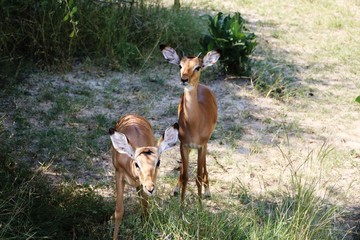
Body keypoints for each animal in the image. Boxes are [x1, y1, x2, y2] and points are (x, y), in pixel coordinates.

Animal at [160, 45, 219, 204]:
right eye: (180, 65)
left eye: (197, 67)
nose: (184, 79)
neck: (194, 124)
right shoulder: (184, 145)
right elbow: (186, 176)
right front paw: (182, 206)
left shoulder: (201, 146)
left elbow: (197, 176)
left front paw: (199, 206)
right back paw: (176, 189)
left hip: (205, 144)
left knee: (204, 164)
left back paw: (208, 191)